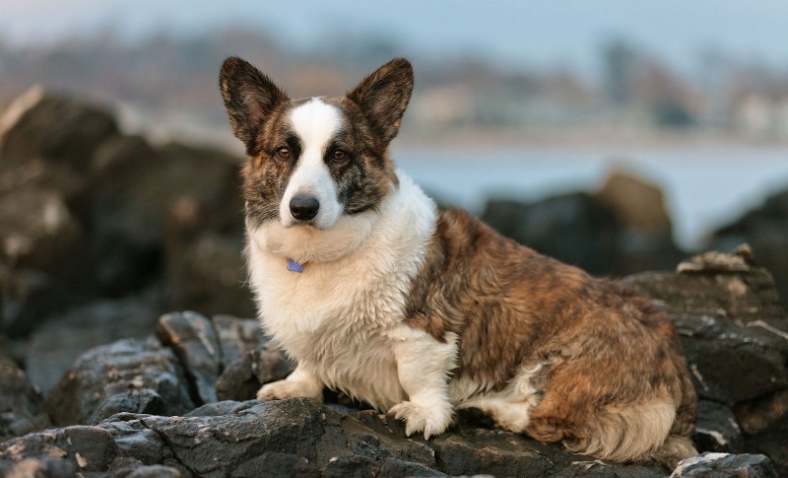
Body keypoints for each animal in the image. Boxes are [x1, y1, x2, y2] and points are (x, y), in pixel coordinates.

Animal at [220, 56, 696, 466]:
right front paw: (296, 387)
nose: (303, 208)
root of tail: (679, 378)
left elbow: (419, 376)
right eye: (284, 152)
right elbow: (310, 362)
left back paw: (492, 411)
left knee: (551, 419)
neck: (324, 251)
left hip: (561, 364)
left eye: (338, 155)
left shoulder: (423, 332)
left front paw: (424, 414)